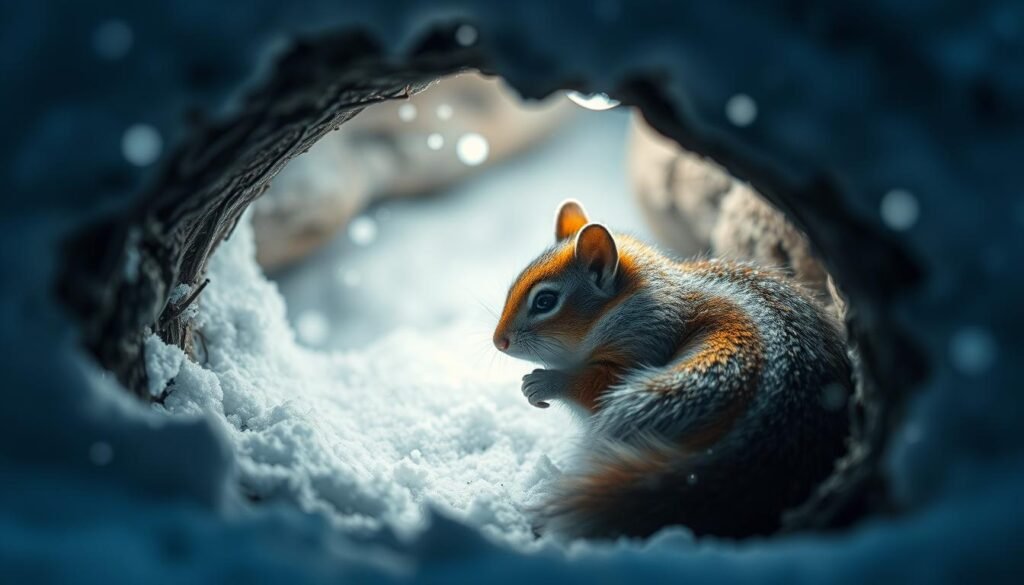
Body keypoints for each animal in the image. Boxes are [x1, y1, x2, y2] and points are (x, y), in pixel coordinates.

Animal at [492, 200, 851, 539]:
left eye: (545, 301)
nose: (498, 341)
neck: (629, 303)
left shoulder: (647, 340)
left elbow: (598, 387)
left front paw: (546, 382)